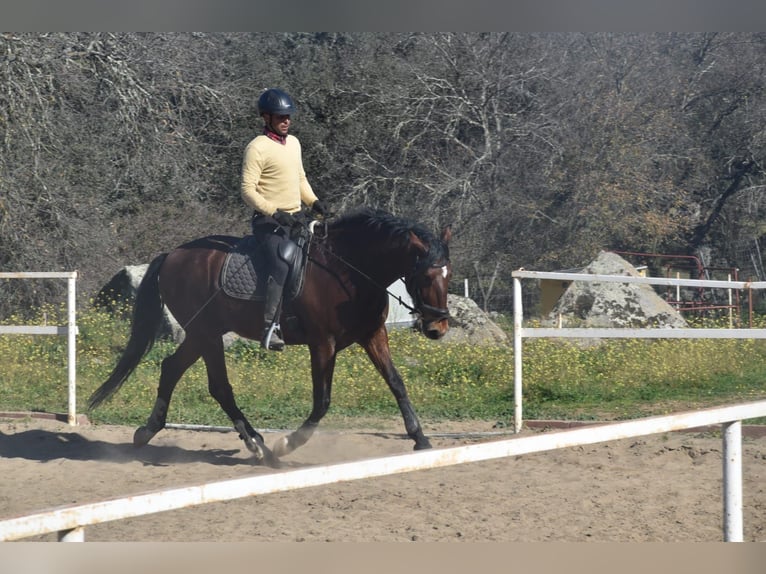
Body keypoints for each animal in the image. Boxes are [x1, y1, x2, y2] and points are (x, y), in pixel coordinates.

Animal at [88, 208, 452, 468]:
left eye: (448, 276)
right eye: (424, 276)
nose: (438, 329)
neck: (348, 271)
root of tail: (172, 255)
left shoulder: (373, 334)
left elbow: (396, 382)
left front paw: (420, 438)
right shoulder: (323, 343)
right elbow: (322, 402)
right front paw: (288, 443)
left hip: (201, 333)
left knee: (171, 368)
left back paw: (148, 431)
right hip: (207, 333)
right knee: (219, 387)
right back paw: (262, 448)